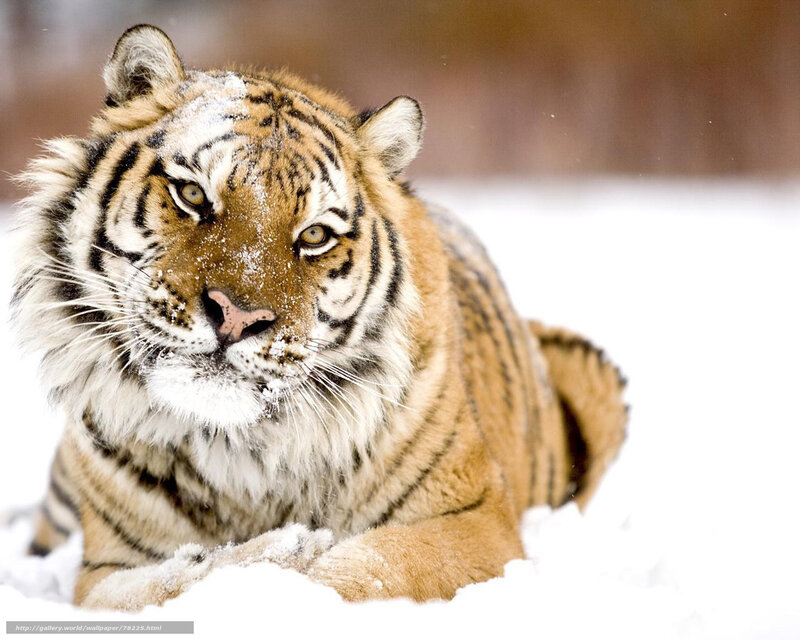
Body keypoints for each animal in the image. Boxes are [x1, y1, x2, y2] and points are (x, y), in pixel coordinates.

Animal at [11, 24, 628, 610]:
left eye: (314, 236)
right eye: (192, 194)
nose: (236, 317)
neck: (238, 455)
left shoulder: (475, 524)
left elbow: (361, 571)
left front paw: (292, 557)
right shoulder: (103, 571)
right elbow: (162, 587)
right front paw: (276, 551)